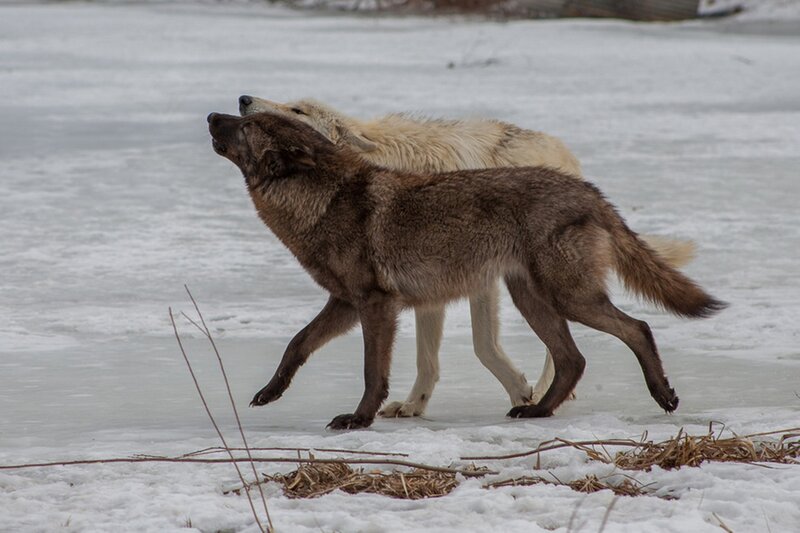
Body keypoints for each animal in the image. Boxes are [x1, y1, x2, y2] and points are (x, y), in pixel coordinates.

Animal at [208, 111, 724, 430]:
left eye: (247, 125)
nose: (212, 115)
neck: (322, 200)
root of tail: (589, 190)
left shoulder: (376, 306)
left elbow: (373, 373)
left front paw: (358, 419)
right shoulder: (344, 304)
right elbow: (296, 343)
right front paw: (269, 392)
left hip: (568, 298)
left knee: (637, 328)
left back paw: (663, 396)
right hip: (532, 299)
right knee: (574, 359)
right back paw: (537, 412)